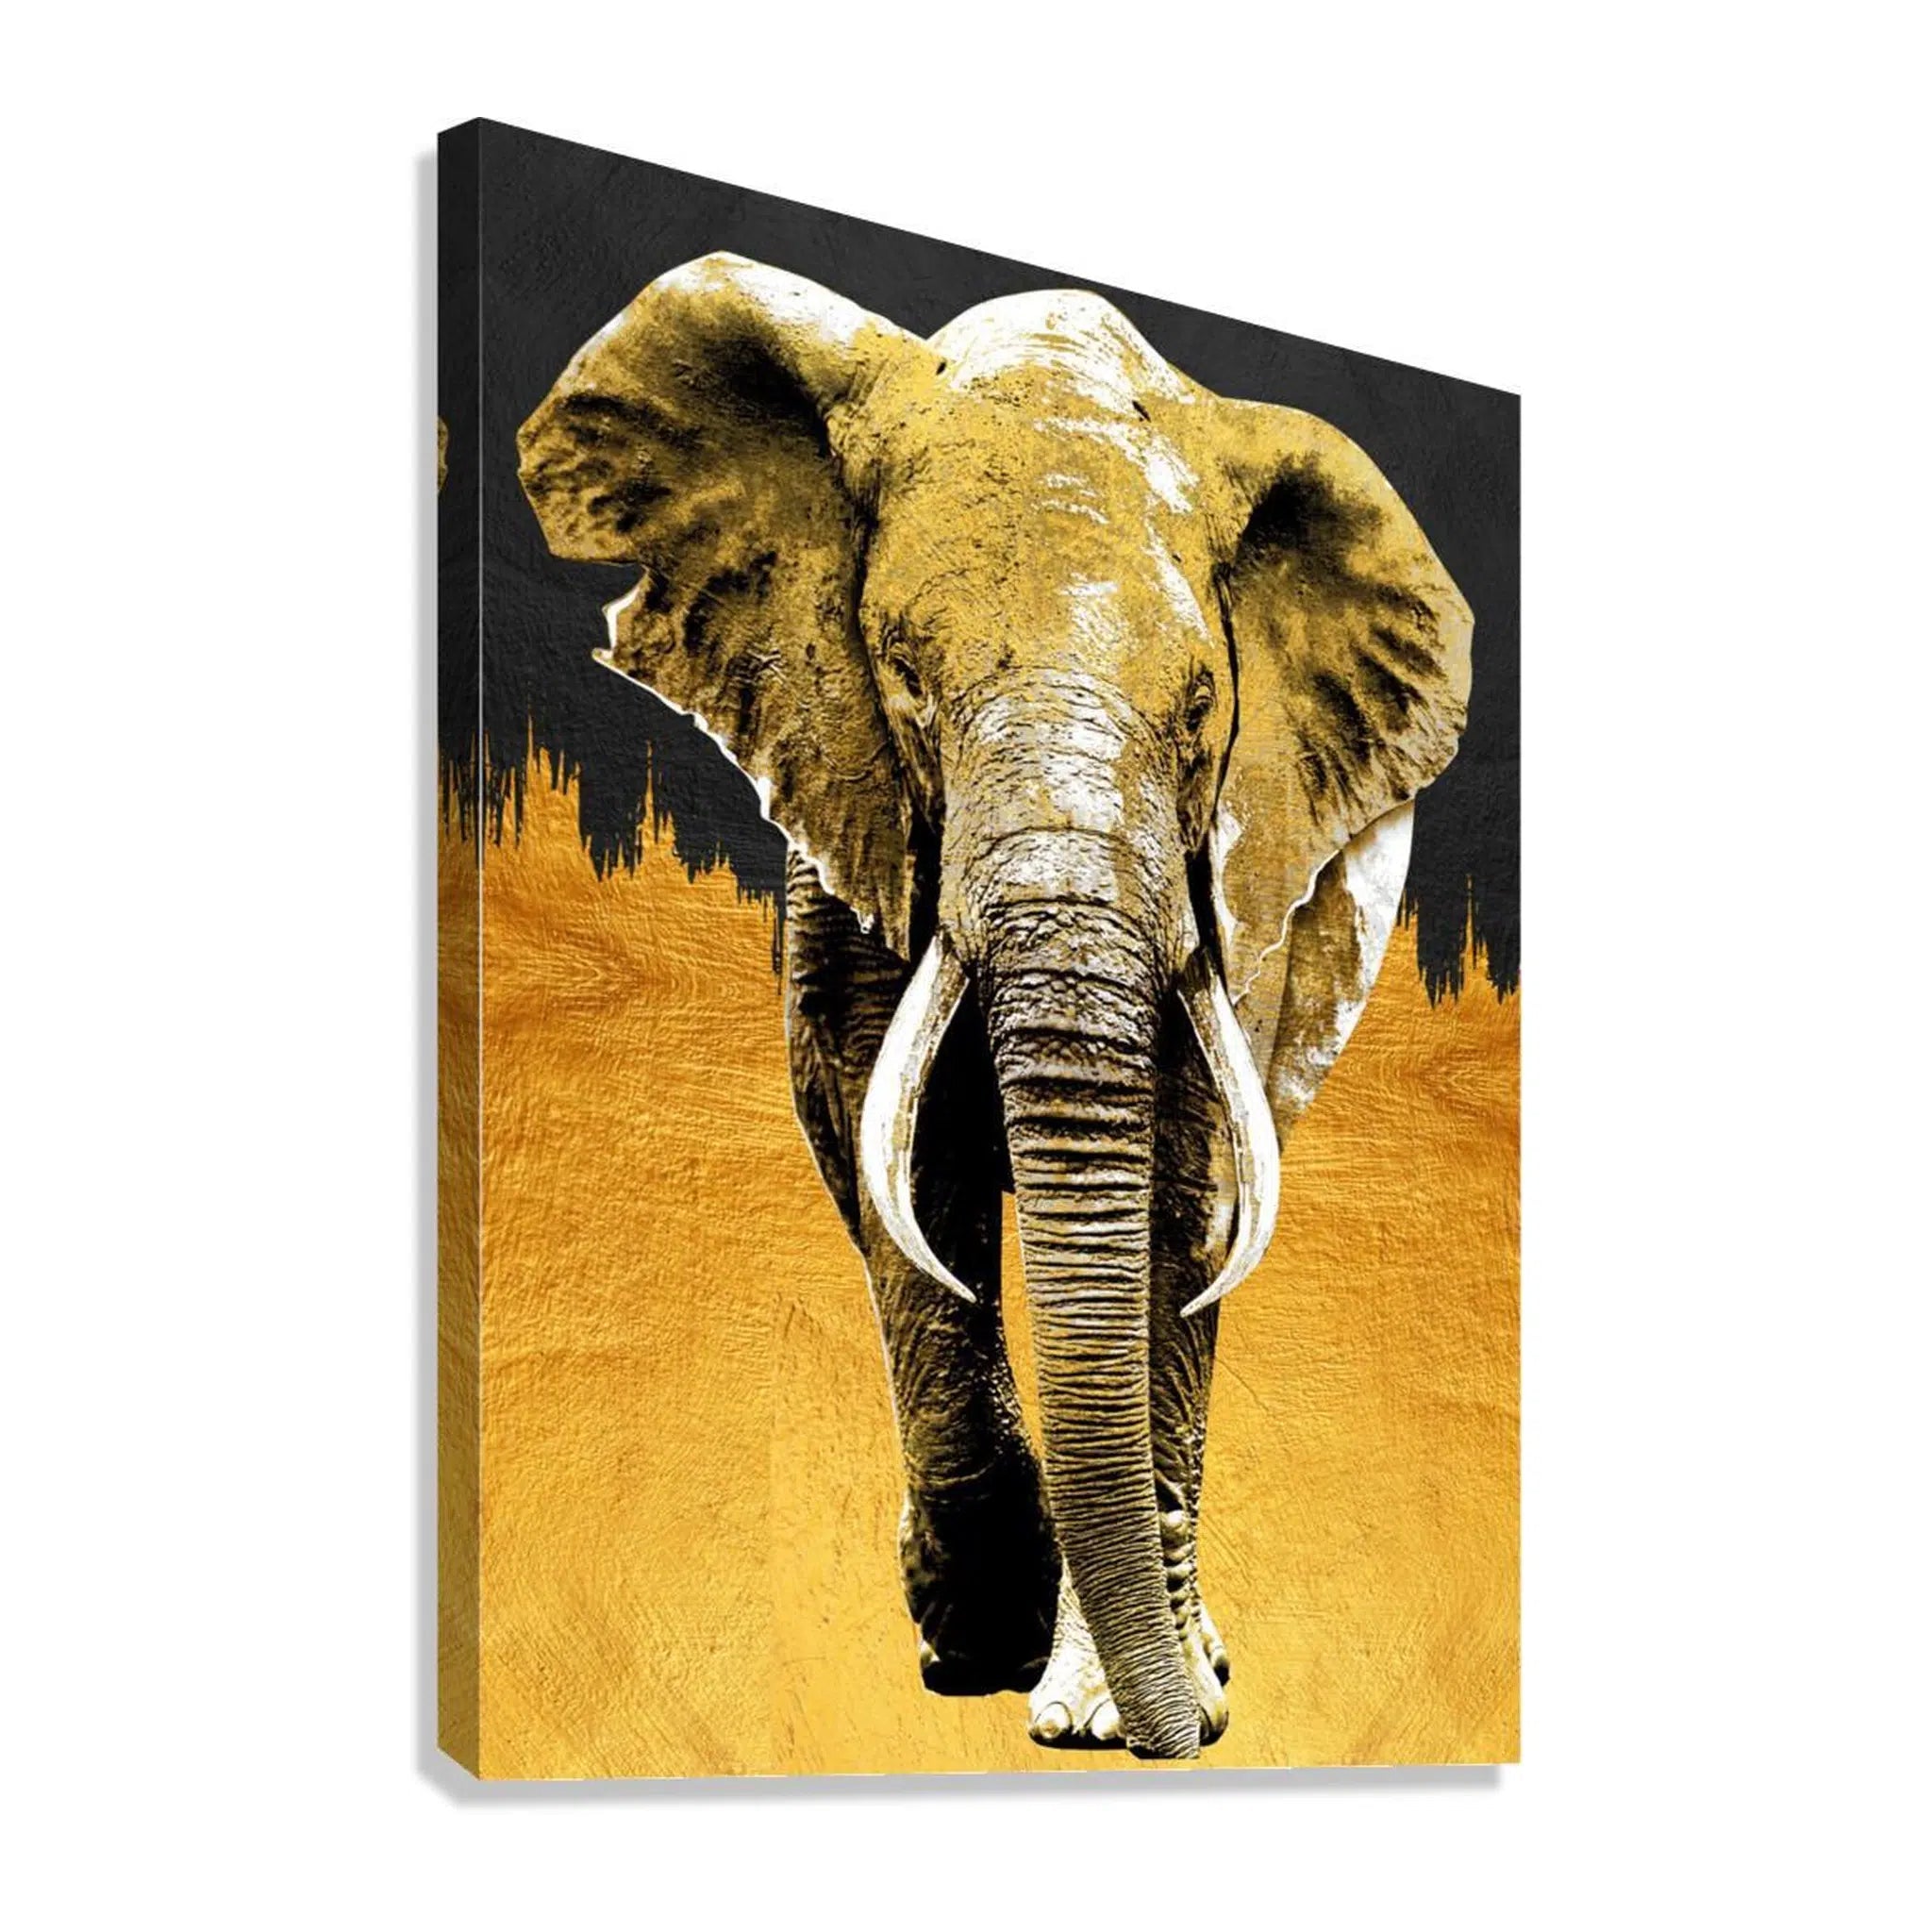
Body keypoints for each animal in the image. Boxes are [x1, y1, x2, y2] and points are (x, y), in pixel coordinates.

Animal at [516, 254, 1472, 1761]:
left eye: (1201, 719)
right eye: (906, 682)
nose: (1198, 1733)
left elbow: (1183, 1186)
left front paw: (1100, 1704)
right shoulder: (842, 800)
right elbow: (891, 1142)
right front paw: (974, 1636)